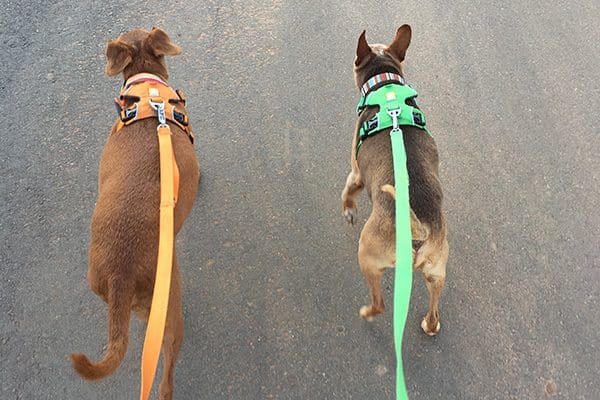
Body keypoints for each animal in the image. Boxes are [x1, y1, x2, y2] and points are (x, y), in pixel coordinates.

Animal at [340, 26, 448, 336]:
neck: (386, 87)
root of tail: (417, 233)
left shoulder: (356, 174)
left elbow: (346, 193)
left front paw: (348, 211)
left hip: (367, 254)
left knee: (379, 304)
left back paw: (367, 312)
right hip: (436, 272)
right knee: (434, 311)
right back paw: (429, 325)